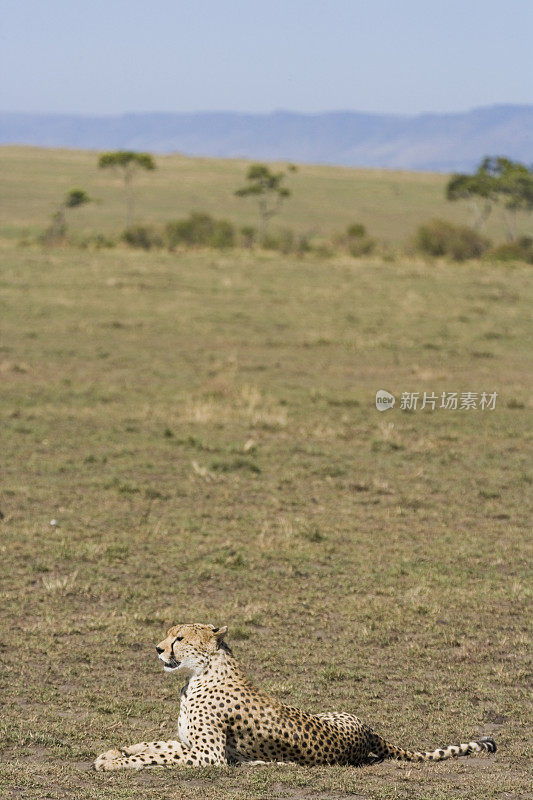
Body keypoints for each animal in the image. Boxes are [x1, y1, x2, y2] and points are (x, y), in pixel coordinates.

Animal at [93, 624, 496, 768]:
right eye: (168, 634)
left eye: (179, 638)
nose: (158, 649)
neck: (199, 674)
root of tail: (367, 731)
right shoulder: (190, 742)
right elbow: (155, 744)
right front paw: (116, 752)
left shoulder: (210, 754)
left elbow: (161, 754)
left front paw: (118, 763)